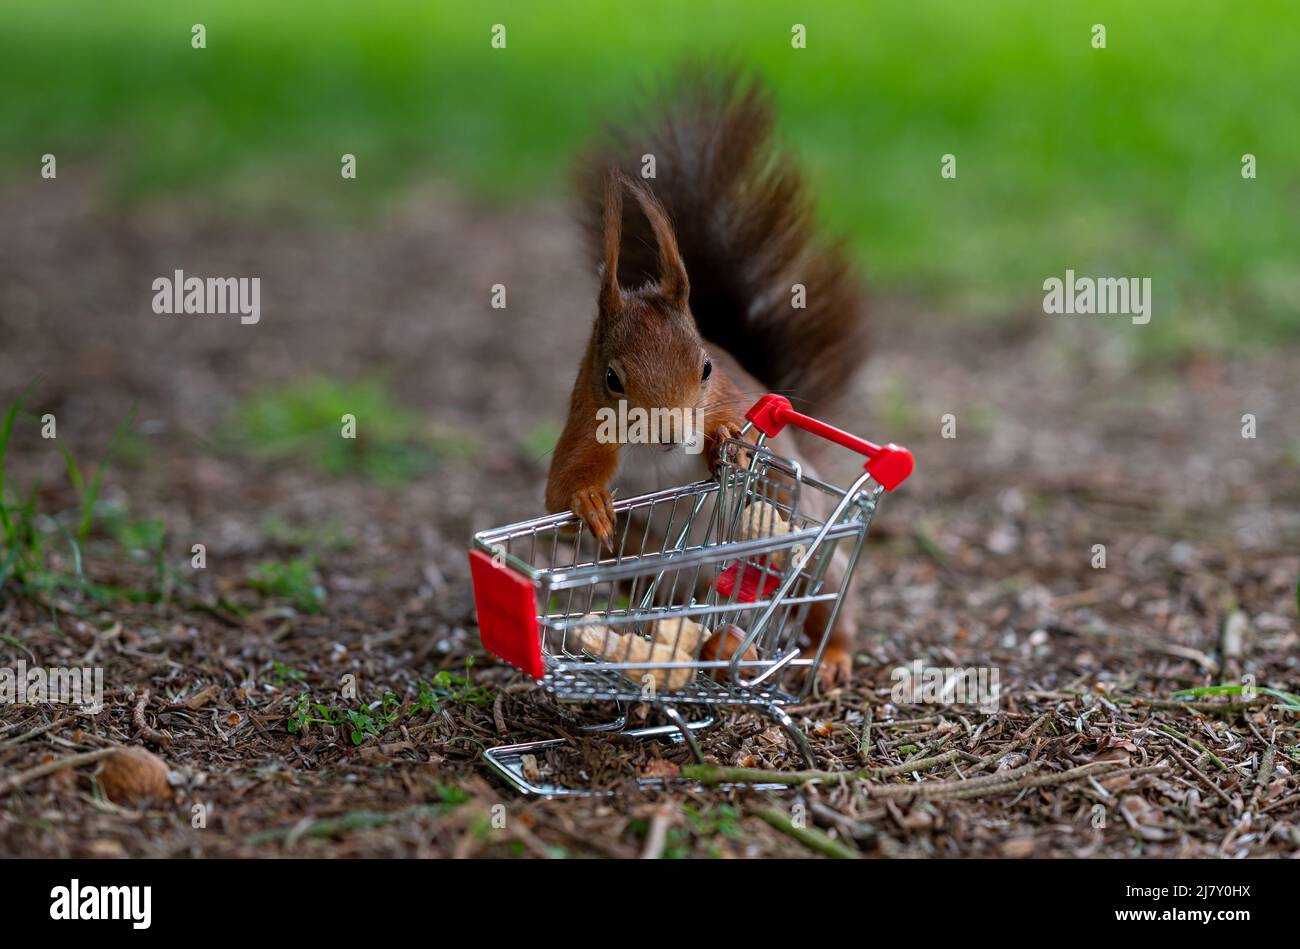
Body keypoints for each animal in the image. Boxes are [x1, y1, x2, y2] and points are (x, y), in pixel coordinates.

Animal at [543, 70, 868, 686]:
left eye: (707, 368)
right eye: (612, 379)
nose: (675, 434)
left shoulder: (736, 403)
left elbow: (745, 441)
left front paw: (725, 445)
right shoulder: (583, 432)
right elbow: (558, 499)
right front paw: (589, 505)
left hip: (816, 557)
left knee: (828, 605)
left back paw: (833, 656)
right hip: (661, 582)